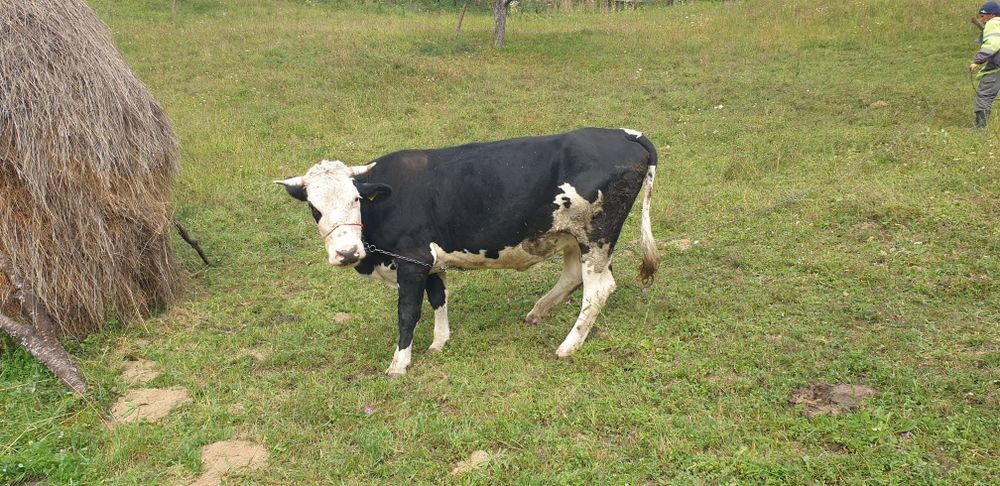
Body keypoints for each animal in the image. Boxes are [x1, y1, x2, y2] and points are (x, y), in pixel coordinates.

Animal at [276, 128, 659, 377]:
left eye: (356, 199)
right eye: (314, 208)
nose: (346, 253)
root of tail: (622, 133)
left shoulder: (411, 262)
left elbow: (407, 313)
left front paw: (399, 364)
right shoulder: (429, 262)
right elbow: (439, 299)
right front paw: (439, 343)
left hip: (596, 236)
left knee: (599, 289)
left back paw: (568, 345)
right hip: (571, 235)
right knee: (573, 275)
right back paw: (539, 311)